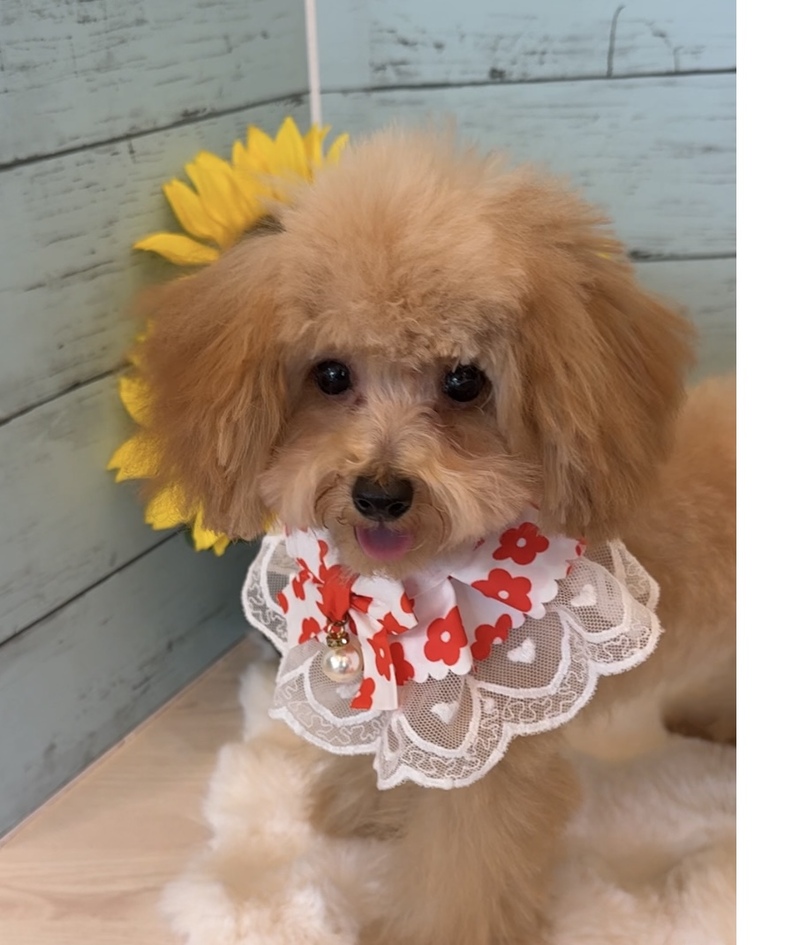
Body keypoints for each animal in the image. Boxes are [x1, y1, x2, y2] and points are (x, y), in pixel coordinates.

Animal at [136, 129, 735, 945]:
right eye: (330, 374)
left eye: (464, 381)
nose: (380, 493)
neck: (416, 581)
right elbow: (391, 753)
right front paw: (366, 805)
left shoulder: (492, 749)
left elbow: (466, 863)